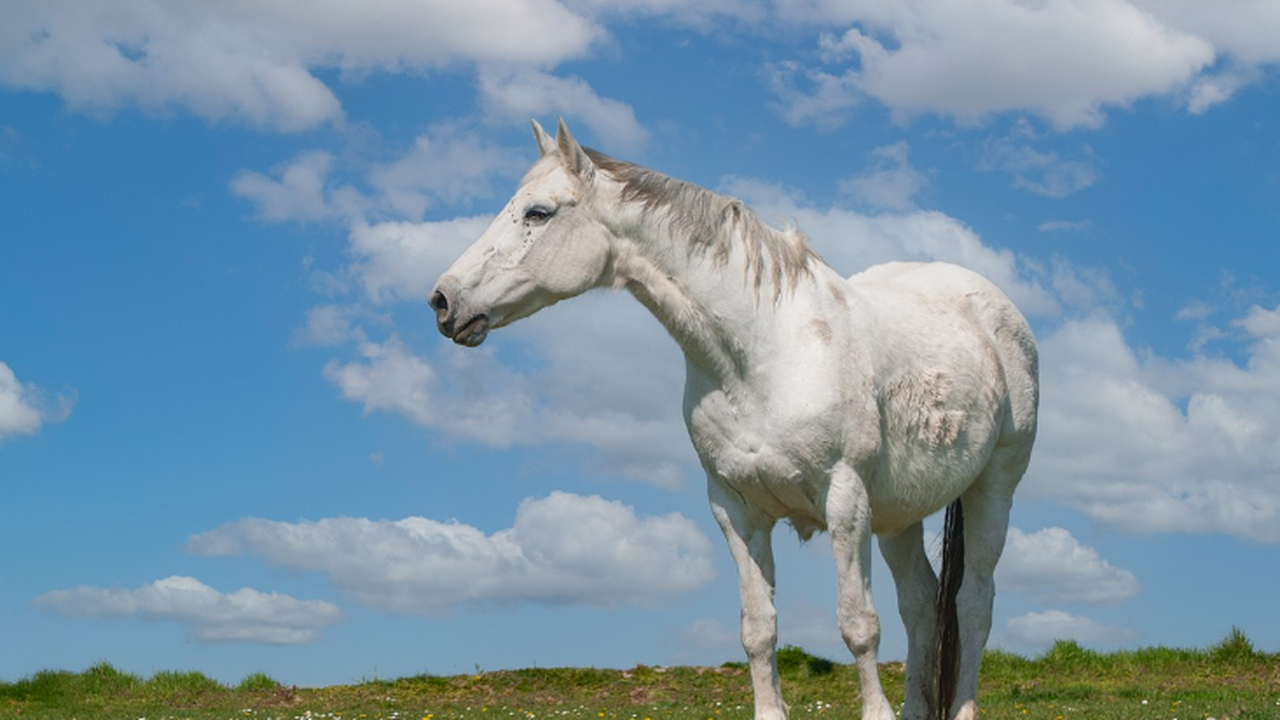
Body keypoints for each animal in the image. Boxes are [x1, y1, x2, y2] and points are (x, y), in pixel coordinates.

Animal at [432, 119, 1039, 717]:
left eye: (538, 213)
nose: (443, 301)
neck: (762, 355)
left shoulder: (845, 501)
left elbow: (858, 625)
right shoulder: (735, 510)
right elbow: (759, 630)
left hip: (991, 490)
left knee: (973, 604)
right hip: (898, 515)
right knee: (922, 605)